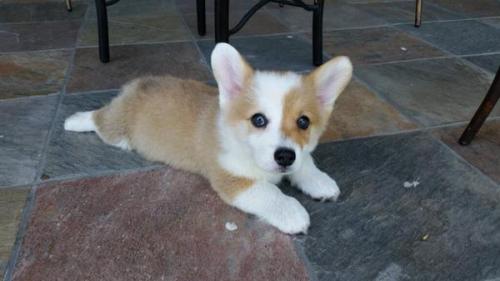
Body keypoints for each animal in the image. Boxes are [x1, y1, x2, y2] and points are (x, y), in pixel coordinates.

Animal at [64, 42, 354, 233]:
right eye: (258, 120)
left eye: (303, 122)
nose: (284, 156)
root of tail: (137, 84)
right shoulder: (232, 179)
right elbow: (268, 191)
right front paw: (292, 212)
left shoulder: (297, 155)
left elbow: (305, 163)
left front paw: (320, 181)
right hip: (116, 131)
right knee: (100, 119)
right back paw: (74, 120)